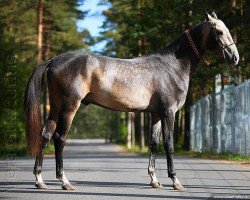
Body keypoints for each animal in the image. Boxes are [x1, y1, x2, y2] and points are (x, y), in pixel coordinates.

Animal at [24, 12, 239, 191]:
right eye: (219, 31)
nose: (235, 58)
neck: (172, 66)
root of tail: (53, 60)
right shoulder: (169, 112)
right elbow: (169, 144)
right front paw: (175, 181)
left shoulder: (156, 114)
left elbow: (154, 144)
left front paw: (154, 180)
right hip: (69, 107)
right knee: (59, 138)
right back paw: (65, 182)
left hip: (55, 107)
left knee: (45, 135)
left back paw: (39, 180)